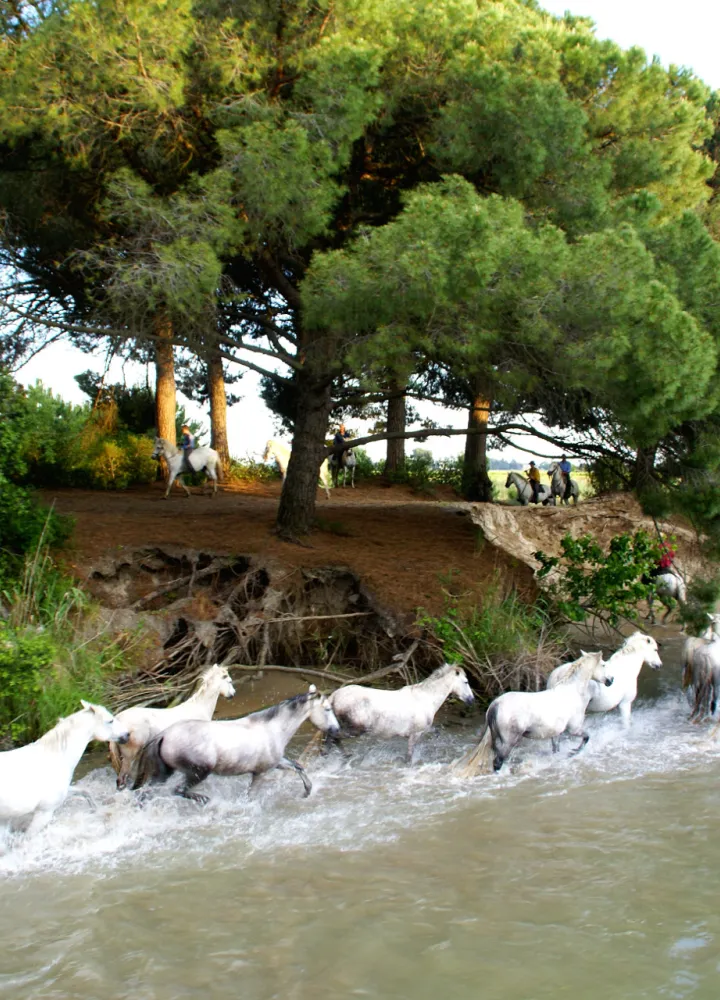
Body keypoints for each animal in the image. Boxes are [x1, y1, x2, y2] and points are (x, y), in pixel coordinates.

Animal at [0, 701, 130, 836]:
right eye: (110, 721)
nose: (127, 734)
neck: (56, 757)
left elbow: (85, 792)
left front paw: (96, 810)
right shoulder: (44, 812)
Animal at [132, 685, 340, 803]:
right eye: (327, 709)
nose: (337, 729)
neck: (272, 728)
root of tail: (164, 735)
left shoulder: (277, 762)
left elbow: (298, 766)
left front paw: (307, 791)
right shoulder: (260, 772)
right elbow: (250, 797)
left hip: (164, 773)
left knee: (145, 794)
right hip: (198, 772)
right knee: (178, 790)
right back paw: (204, 799)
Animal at [327, 663, 474, 763]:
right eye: (466, 682)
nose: (472, 700)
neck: (426, 698)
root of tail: (334, 696)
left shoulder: (424, 730)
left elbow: (436, 733)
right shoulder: (415, 734)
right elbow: (408, 757)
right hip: (356, 729)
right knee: (334, 738)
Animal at [454, 651, 610, 775]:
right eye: (603, 664)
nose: (610, 680)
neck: (572, 692)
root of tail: (495, 705)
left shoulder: (556, 733)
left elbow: (556, 749)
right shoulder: (574, 729)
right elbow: (586, 737)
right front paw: (574, 752)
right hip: (510, 741)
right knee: (498, 762)